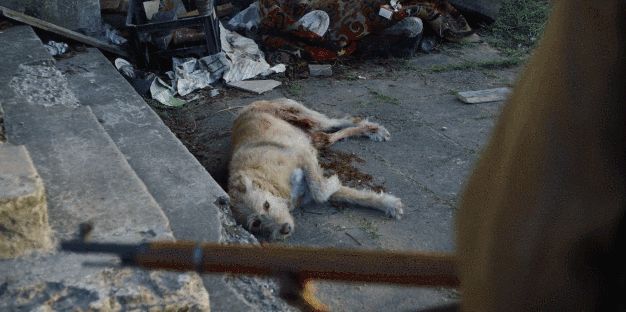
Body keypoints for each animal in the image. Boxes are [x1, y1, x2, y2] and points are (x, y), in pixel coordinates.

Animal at [227, 98, 402, 240]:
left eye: (266, 205)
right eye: (256, 223)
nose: (285, 229)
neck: (267, 181)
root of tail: (251, 104)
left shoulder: (302, 155)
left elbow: (320, 190)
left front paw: (333, 181)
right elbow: (353, 195)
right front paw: (389, 204)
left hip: (303, 116)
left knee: (340, 121)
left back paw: (373, 129)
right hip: (312, 135)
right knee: (329, 137)